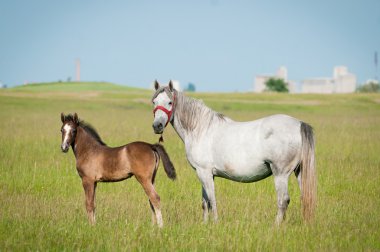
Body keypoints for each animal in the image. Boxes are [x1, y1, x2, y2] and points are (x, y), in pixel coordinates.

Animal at [152, 80, 318, 224]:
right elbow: (205, 202)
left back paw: (275, 226)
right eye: (154, 102)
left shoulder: (203, 172)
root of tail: (299, 124)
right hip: (299, 171)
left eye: (170, 102)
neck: (200, 129)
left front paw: (215, 223)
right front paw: (205, 224)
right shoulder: (206, 173)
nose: (157, 126)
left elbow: (212, 200)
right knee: (305, 197)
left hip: (281, 174)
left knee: (283, 200)